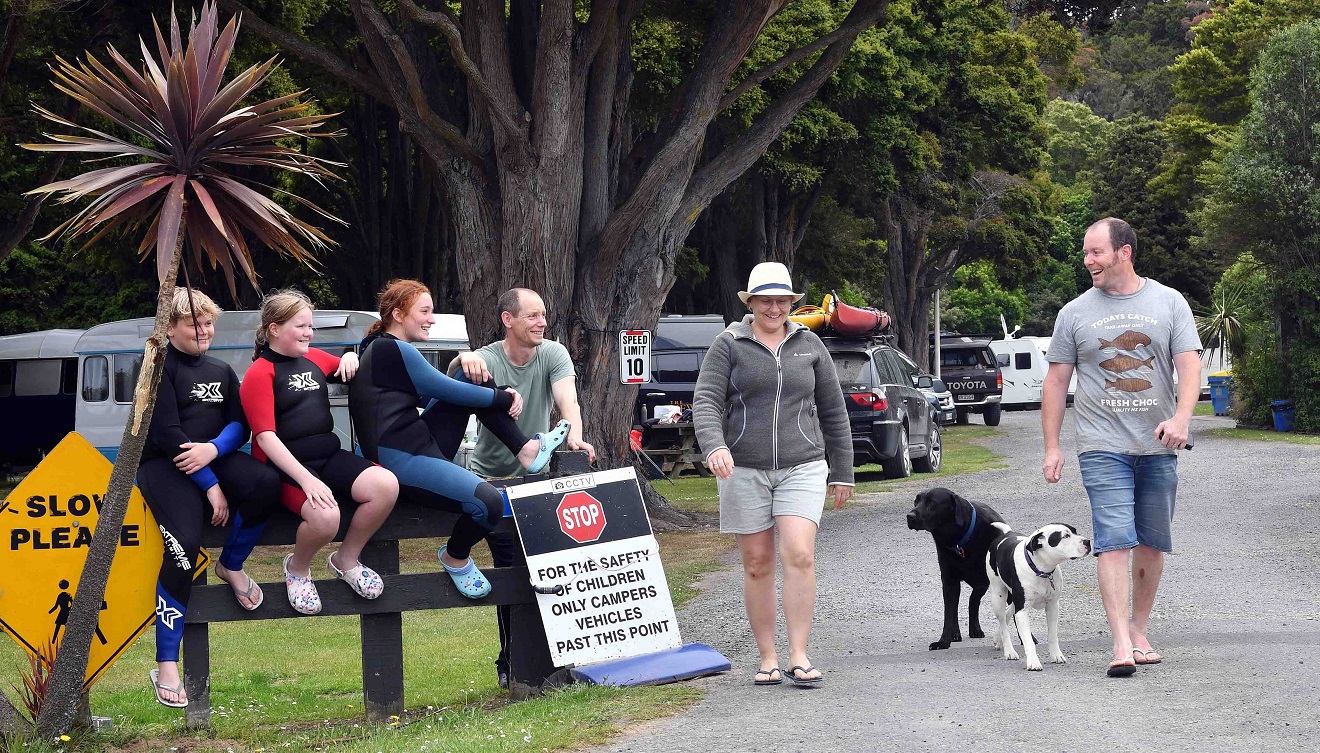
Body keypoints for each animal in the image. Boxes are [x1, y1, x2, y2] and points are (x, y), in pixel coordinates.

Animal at [908, 486, 1008, 644]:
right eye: (916, 501)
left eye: (931, 502)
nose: (909, 516)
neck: (960, 540)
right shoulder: (949, 581)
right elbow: (949, 613)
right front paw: (944, 641)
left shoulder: (983, 581)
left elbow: (973, 600)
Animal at [987, 520, 1087, 668]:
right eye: (1065, 536)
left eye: (1075, 531)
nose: (1087, 541)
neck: (1041, 569)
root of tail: (1007, 533)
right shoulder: (1022, 611)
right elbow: (1028, 640)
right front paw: (1033, 662)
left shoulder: (1052, 607)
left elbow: (1053, 635)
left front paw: (1056, 655)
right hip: (998, 596)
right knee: (1004, 624)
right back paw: (1009, 650)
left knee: (1008, 612)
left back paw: (998, 638)